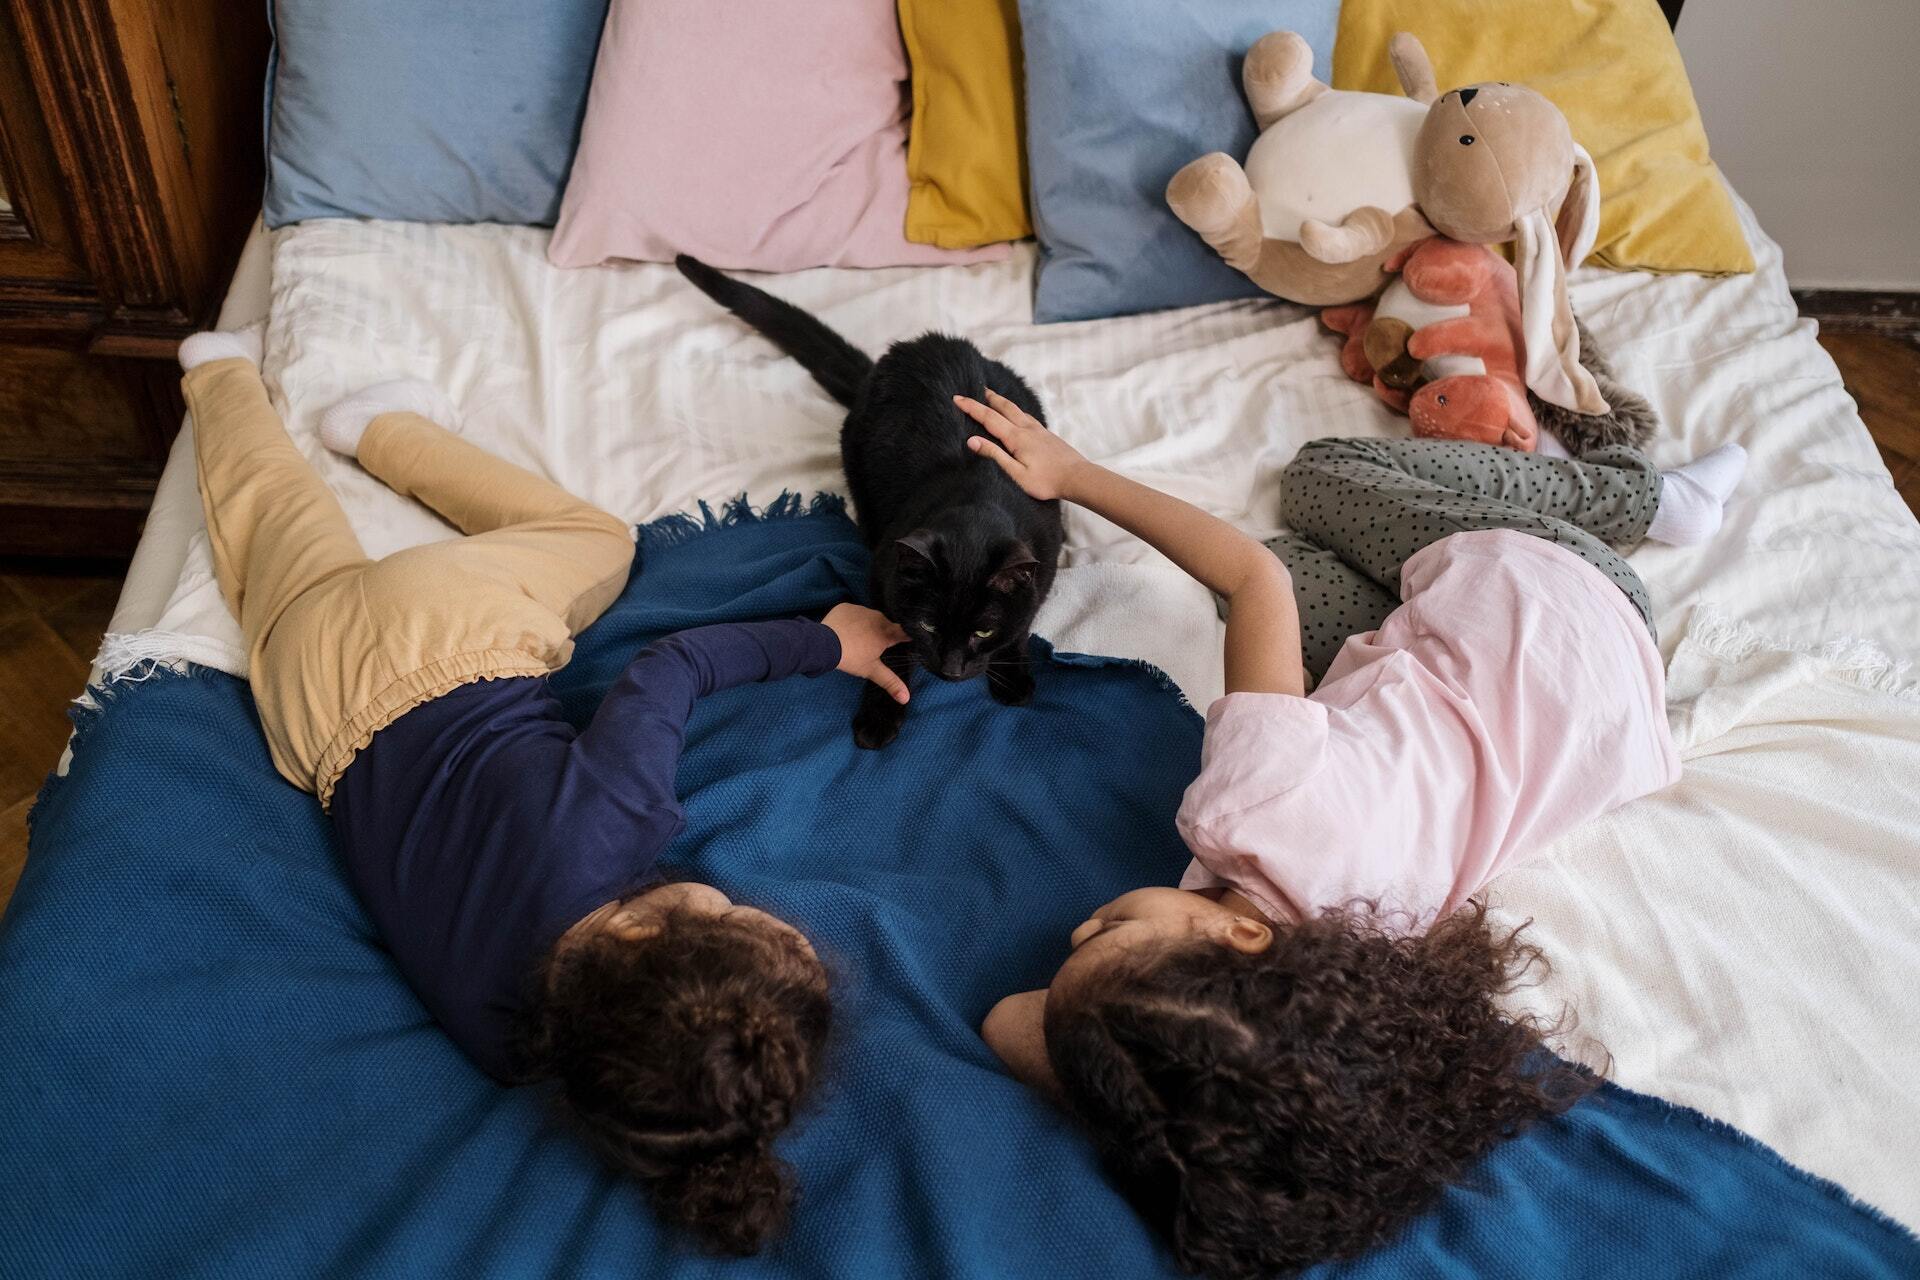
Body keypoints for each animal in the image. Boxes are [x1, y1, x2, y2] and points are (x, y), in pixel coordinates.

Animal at [675, 253, 1067, 752]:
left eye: (983, 630)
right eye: (930, 626)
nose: (950, 670)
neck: (980, 498)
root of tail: (907, 351)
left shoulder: (1043, 562)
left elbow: (1022, 624)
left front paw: (1012, 677)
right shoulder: (885, 578)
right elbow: (892, 643)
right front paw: (881, 712)